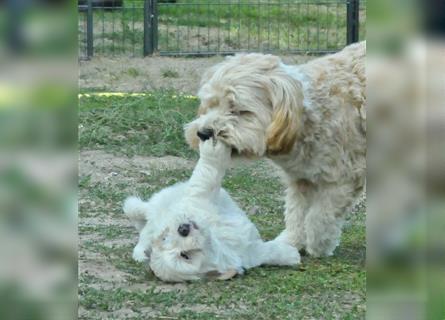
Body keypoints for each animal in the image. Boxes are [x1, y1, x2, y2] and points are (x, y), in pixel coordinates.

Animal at [123, 139, 300, 282]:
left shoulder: (198, 200)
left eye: (164, 238)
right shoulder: (246, 253)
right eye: (185, 255)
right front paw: (291, 254)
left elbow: (206, 178)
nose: (183, 229)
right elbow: (265, 252)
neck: (215, 238)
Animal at [184, 42, 364, 258]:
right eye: (210, 105)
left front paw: (318, 245)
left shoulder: (342, 180)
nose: (203, 133)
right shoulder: (301, 179)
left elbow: (319, 216)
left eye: (239, 110)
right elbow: (296, 214)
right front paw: (289, 243)